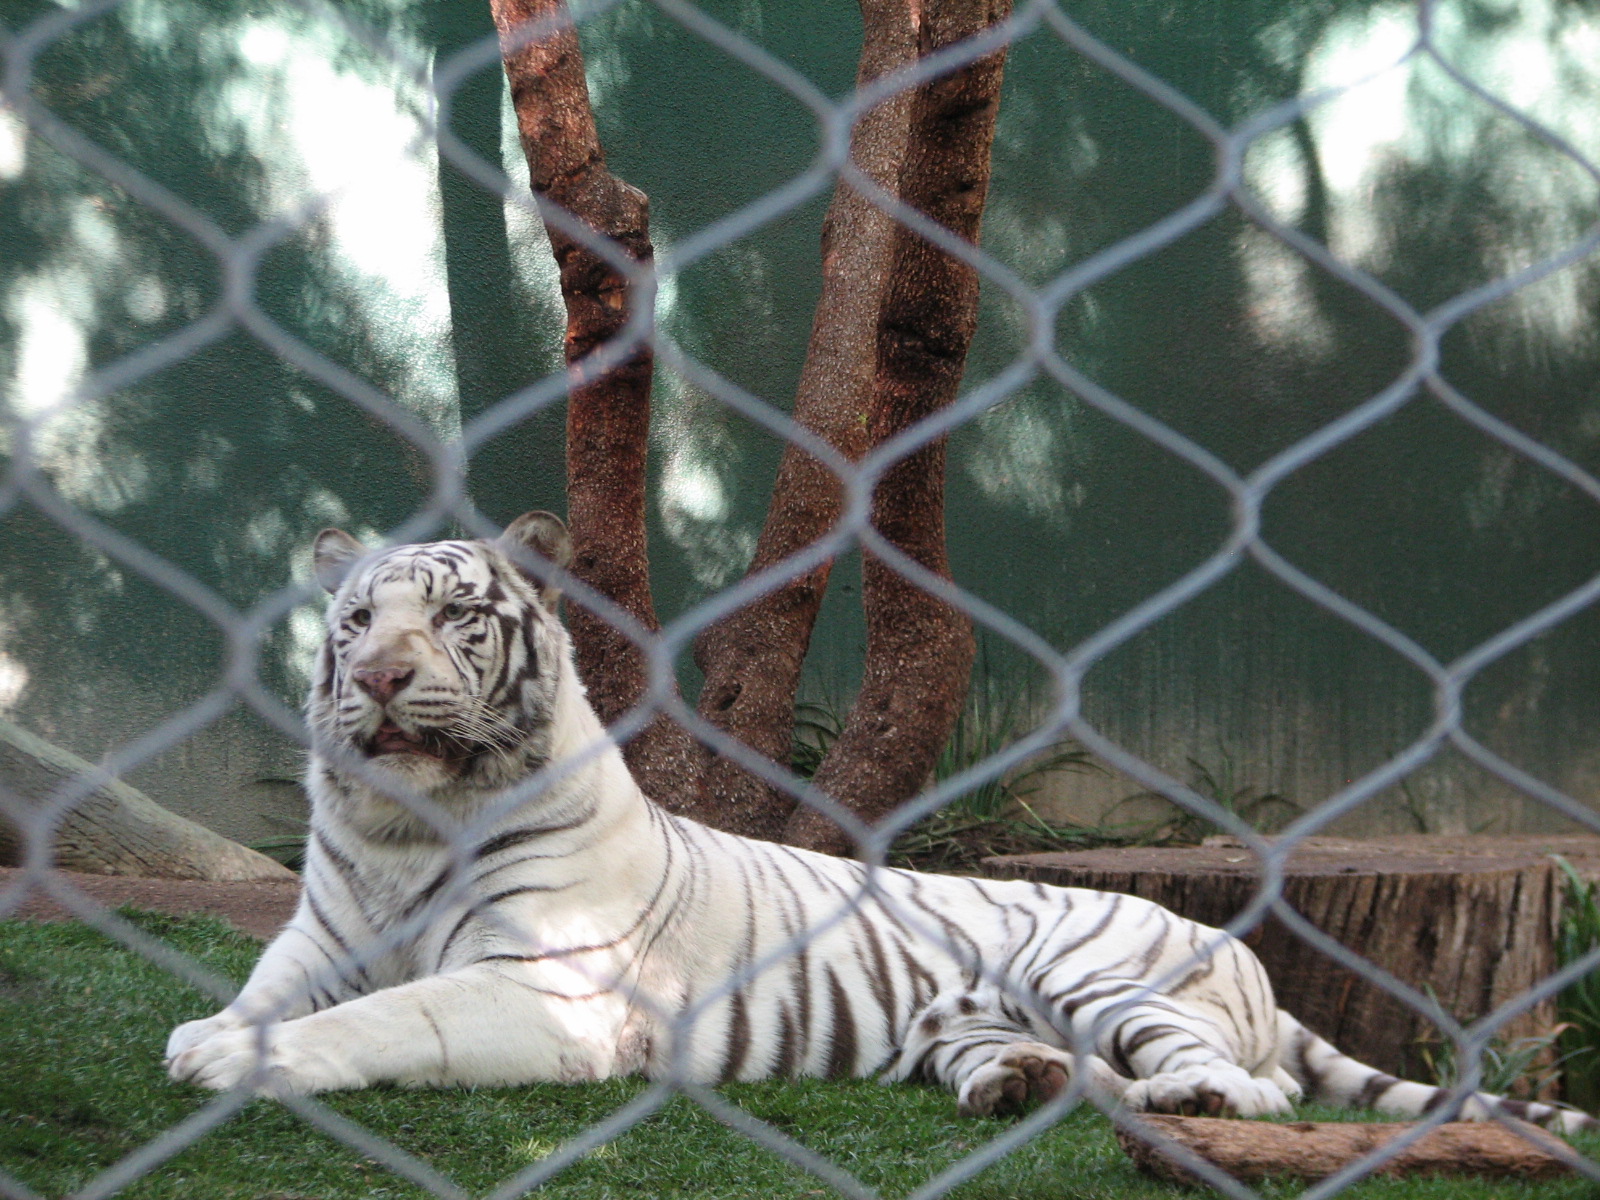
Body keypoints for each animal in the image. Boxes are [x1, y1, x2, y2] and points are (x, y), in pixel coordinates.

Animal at [165, 512, 1595, 1135]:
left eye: (455, 615)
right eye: (358, 617)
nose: (376, 677)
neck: (407, 828)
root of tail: (1236, 947)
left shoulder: (543, 989)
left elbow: (386, 1017)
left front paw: (230, 1061)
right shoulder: (319, 933)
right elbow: (271, 989)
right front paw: (209, 1033)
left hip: (1102, 972)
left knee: (1254, 1088)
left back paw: (1182, 1093)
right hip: (961, 1026)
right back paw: (1027, 1085)